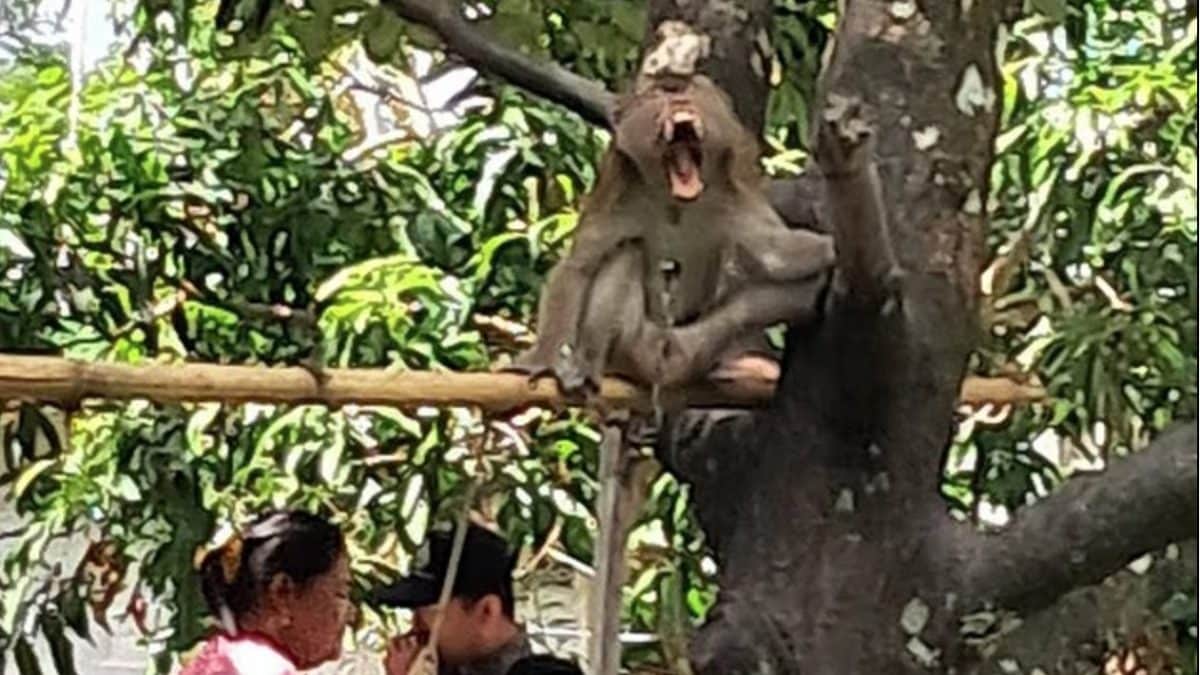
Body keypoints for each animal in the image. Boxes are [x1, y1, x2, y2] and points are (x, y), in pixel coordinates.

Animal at [507, 71, 835, 397]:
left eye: (687, 90)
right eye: (658, 95)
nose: (678, 100)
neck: (674, 198)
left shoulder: (733, 189)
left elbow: (776, 251)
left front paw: (833, 250)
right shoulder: (618, 187)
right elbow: (579, 266)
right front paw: (541, 358)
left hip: (691, 350)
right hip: (635, 342)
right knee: (627, 250)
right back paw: (587, 366)